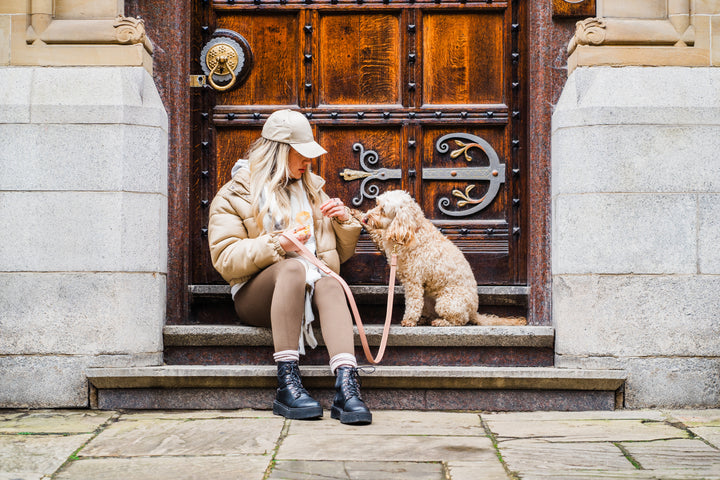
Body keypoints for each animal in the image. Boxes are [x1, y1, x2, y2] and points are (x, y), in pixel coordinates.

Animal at [358, 189, 524, 328]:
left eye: (383, 210)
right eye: (376, 204)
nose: (366, 218)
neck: (412, 230)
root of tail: (473, 312)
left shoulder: (413, 282)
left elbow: (413, 303)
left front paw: (409, 320)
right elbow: (377, 235)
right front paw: (356, 214)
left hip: (446, 302)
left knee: (460, 320)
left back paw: (440, 322)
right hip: (429, 300)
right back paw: (425, 319)